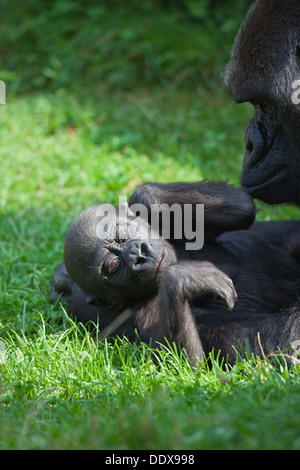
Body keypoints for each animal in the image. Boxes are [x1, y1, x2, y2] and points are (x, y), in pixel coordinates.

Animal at [51, 181, 300, 368]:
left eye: (122, 236)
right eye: (112, 266)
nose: (138, 256)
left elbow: (243, 207)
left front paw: (143, 204)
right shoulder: (142, 312)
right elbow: (189, 365)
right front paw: (184, 277)